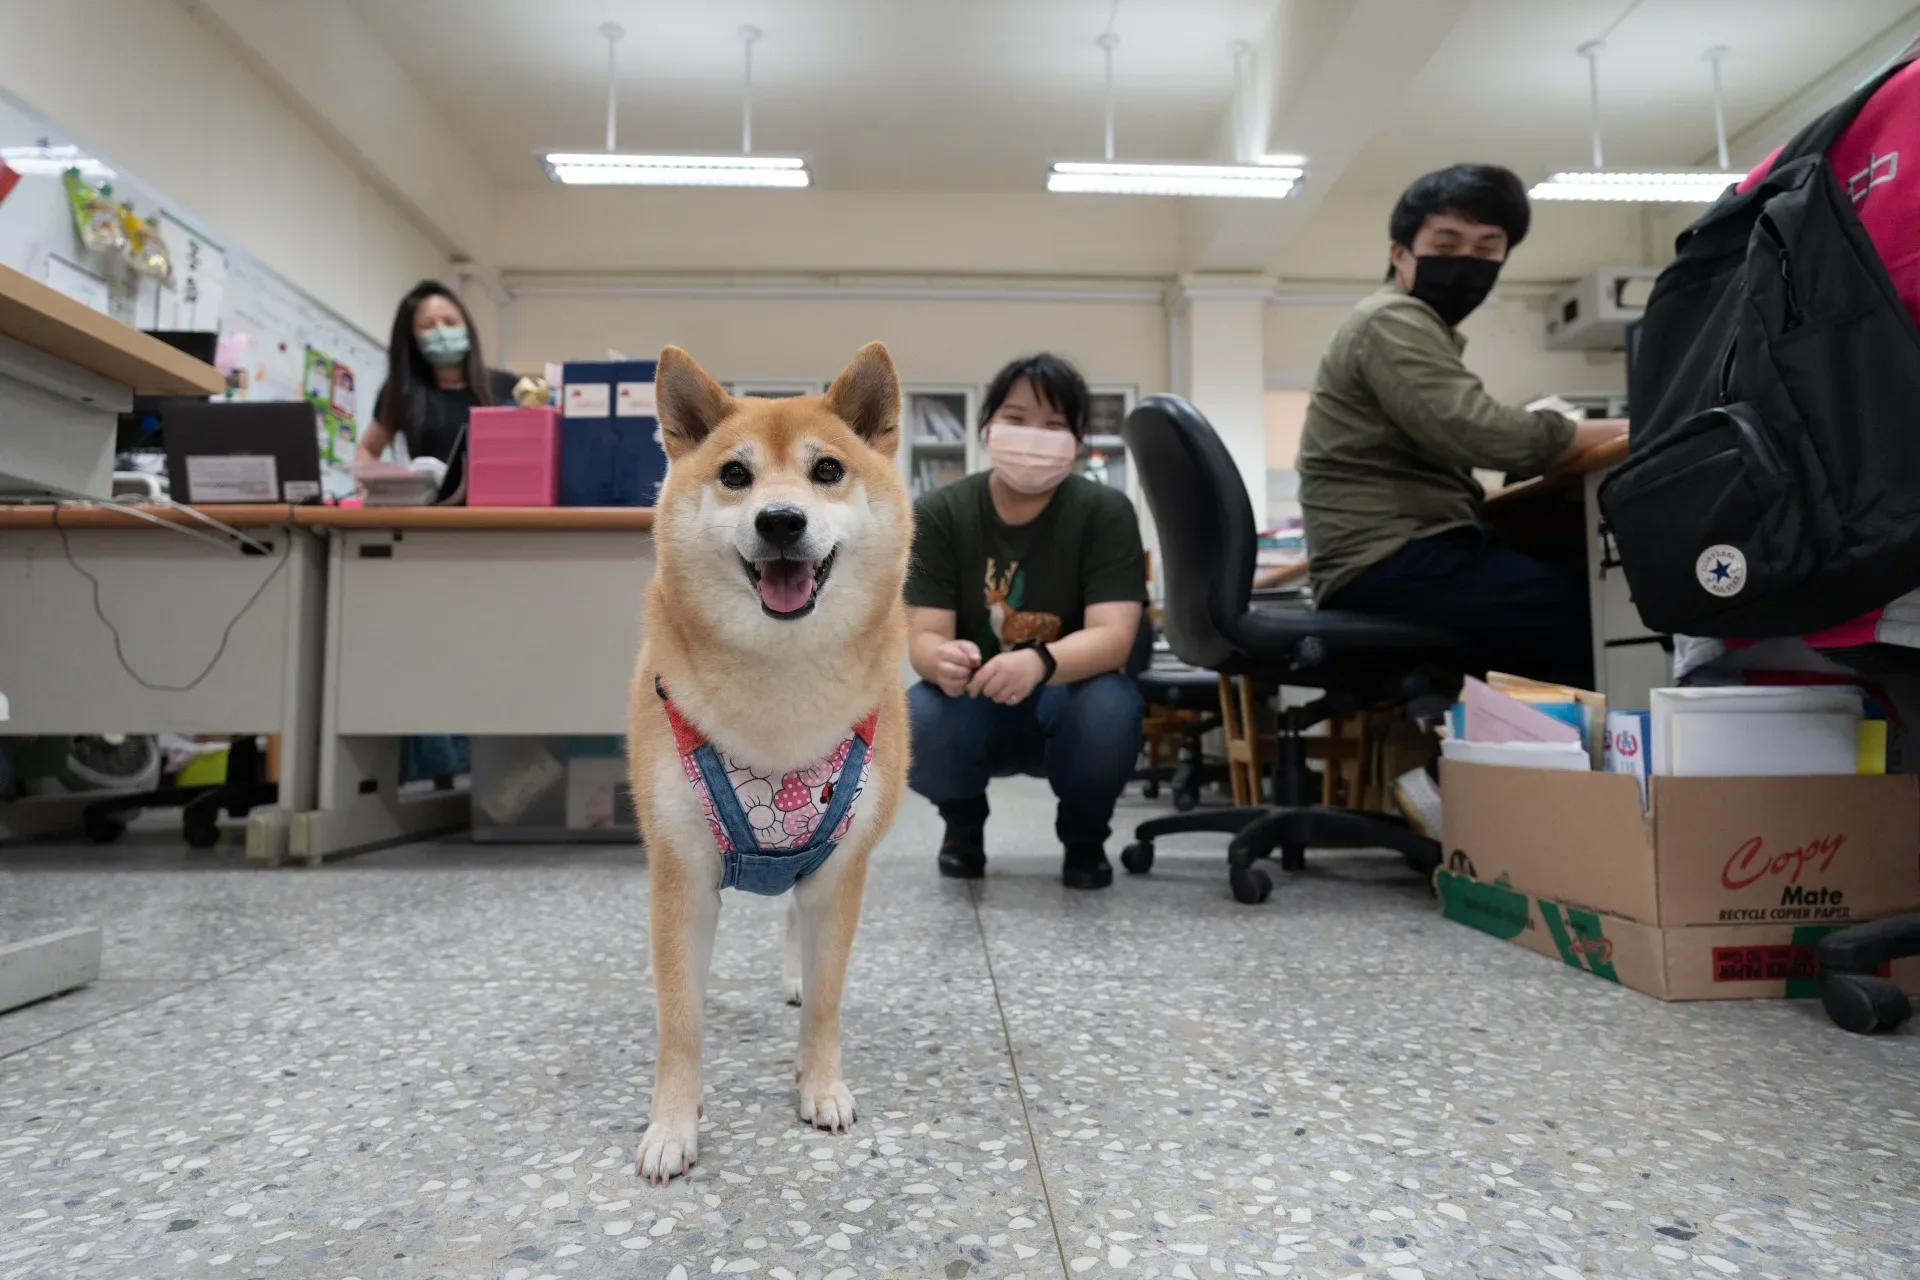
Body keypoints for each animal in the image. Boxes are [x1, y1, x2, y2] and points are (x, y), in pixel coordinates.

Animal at [622, 343, 906, 1189]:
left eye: (828, 470)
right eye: (735, 475)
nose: (781, 520)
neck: (780, 689)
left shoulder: (840, 869)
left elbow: (828, 1000)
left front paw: (821, 1085)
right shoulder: (680, 872)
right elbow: (679, 1021)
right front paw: (672, 1126)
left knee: (795, 929)